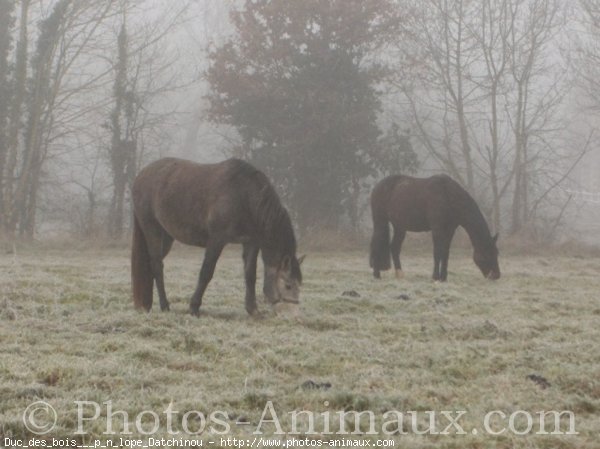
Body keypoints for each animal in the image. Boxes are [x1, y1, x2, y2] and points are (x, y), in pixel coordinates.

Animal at [129, 158, 302, 316]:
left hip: (166, 237)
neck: (243, 195)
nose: (293, 314)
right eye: (288, 285)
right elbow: (206, 272)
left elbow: (250, 275)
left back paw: (147, 304)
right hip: (152, 229)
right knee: (157, 266)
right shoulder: (217, 240)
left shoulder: (251, 243)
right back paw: (164, 305)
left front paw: (252, 309)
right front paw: (194, 307)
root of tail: (140, 177)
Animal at [368, 174, 500, 280]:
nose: (496, 275)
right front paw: (436, 276)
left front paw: (443, 277)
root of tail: (377, 187)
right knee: (376, 243)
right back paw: (376, 274)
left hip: (400, 227)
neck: (448, 195)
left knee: (394, 248)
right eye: (488, 253)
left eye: (496, 252)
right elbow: (437, 252)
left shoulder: (450, 230)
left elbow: (445, 253)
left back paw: (399, 274)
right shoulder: (437, 229)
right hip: (380, 222)